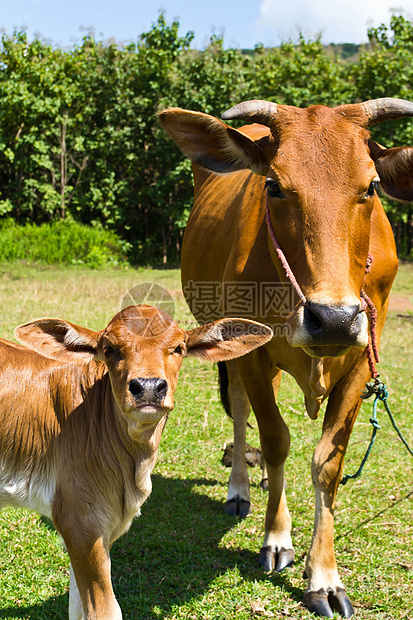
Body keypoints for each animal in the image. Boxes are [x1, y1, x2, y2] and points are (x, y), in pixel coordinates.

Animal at [158, 99, 412, 616]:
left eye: (372, 186)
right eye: (273, 185)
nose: (332, 319)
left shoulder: (361, 359)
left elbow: (328, 463)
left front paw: (325, 578)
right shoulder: (252, 354)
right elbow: (275, 440)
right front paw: (276, 538)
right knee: (241, 411)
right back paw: (240, 488)